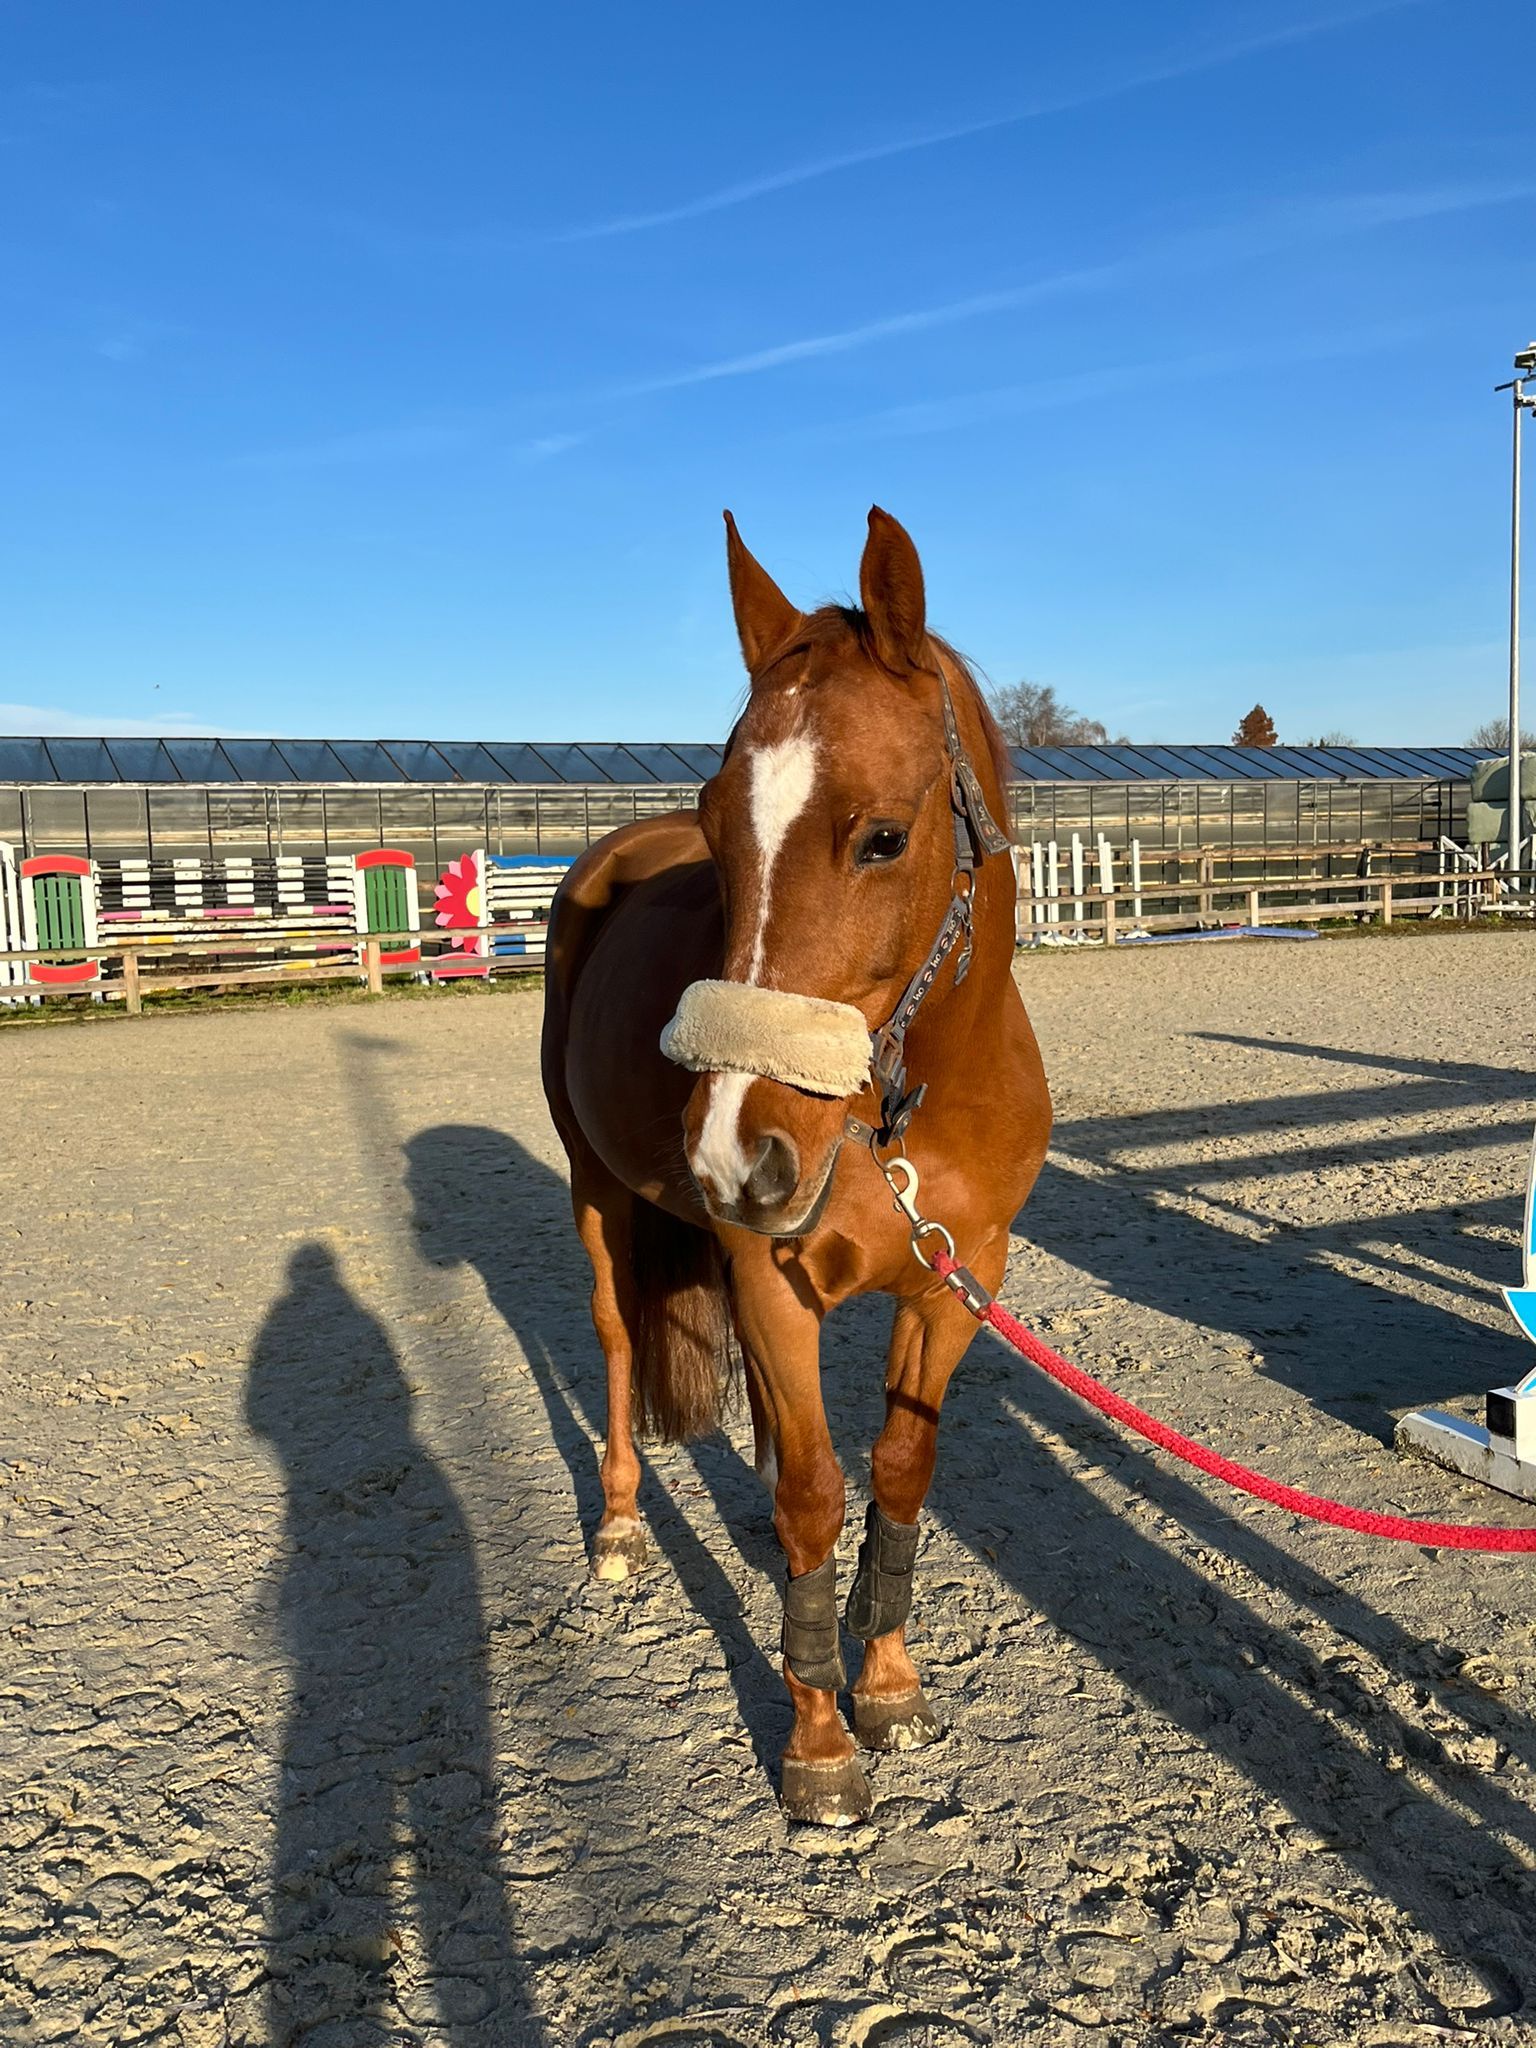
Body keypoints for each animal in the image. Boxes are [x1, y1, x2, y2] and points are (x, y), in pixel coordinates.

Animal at [540, 508, 1052, 1824]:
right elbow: (817, 1491)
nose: (733, 1152)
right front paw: (819, 1741)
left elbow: (898, 1474)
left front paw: (888, 1683)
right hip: (598, 1198)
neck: (905, 1114)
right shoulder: (769, 1277)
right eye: (721, 832)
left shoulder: (959, 1279)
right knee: (616, 1341)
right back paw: (621, 1528)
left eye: (883, 836)